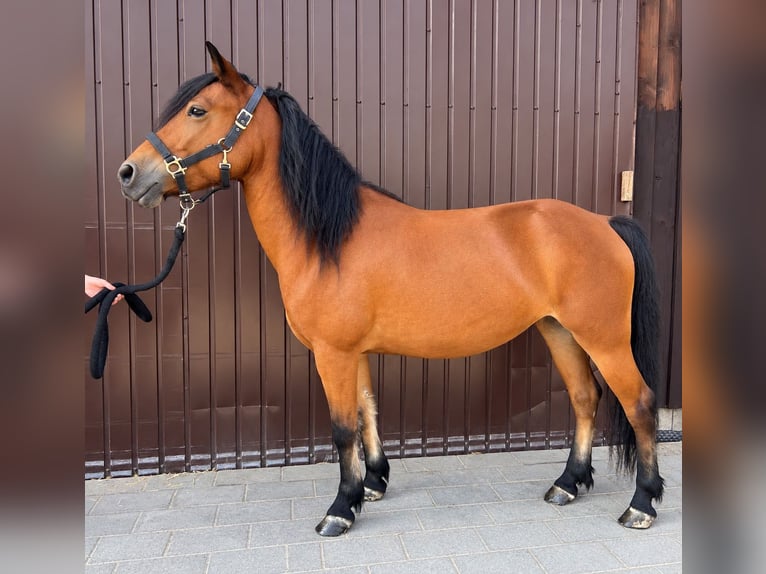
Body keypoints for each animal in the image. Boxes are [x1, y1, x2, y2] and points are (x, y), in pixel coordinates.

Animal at [118, 42, 664, 537]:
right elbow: (367, 413)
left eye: (197, 110)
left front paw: (341, 509)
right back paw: (568, 484)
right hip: (559, 331)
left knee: (638, 404)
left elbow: (343, 428)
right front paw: (372, 483)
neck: (330, 238)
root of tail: (605, 223)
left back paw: (641, 504)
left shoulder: (333, 353)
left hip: (604, 340)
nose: (129, 173)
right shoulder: (352, 352)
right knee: (584, 398)